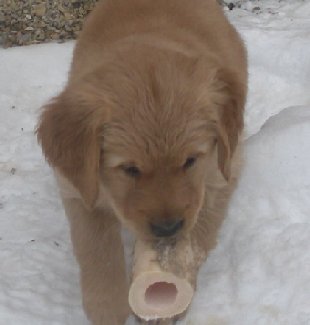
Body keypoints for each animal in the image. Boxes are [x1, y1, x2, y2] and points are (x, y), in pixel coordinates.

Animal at [36, 0, 247, 324]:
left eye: (190, 160)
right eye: (130, 169)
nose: (168, 228)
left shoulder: (222, 170)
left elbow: (200, 233)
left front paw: (174, 296)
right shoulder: (78, 189)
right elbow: (97, 251)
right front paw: (107, 310)